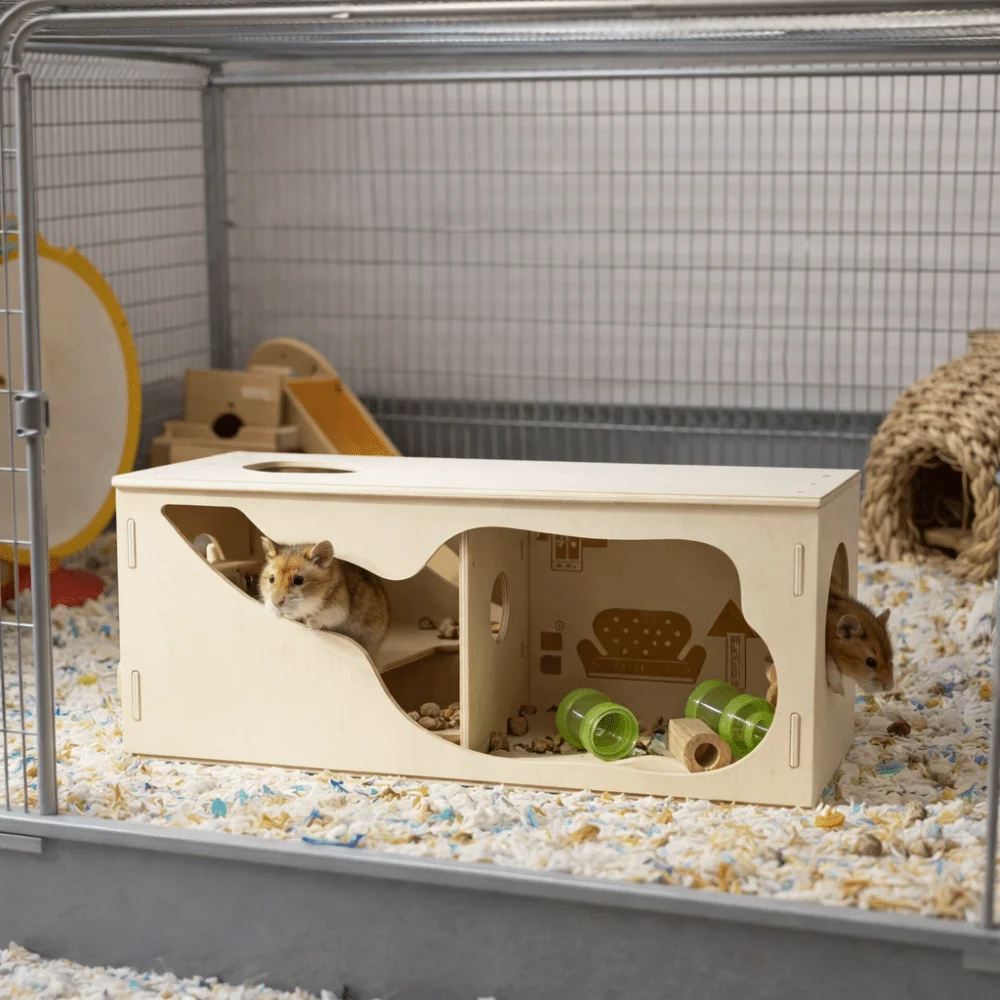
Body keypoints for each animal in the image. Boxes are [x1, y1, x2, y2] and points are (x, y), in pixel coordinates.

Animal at [258, 535, 390, 656]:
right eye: (271, 578)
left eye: (299, 580)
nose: (276, 603)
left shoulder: (339, 606)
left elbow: (328, 615)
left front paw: (310, 622)